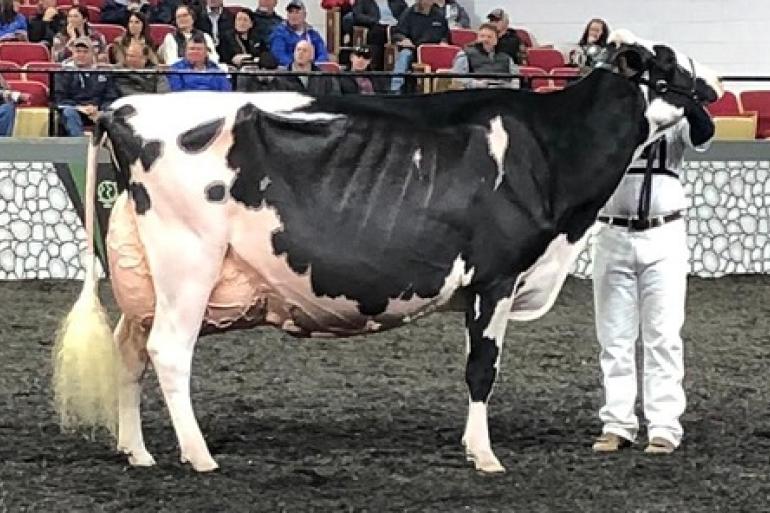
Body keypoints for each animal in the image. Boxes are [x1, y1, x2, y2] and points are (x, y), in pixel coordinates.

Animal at [55, 30, 720, 474]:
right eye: (668, 65)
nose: (714, 85)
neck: (550, 149)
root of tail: (121, 106)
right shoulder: (496, 276)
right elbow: (483, 368)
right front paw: (484, 455)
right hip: (187, 262)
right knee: (169, 352)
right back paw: (198, 455)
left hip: (147, 275)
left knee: (129, 348)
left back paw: (136, 450)